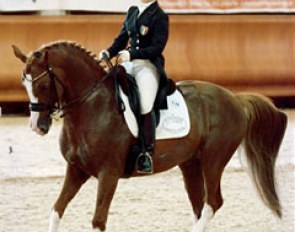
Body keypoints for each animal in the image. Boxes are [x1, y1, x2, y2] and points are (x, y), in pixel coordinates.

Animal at [12, 41, 288, 232]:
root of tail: (235, 99)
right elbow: (56, 211)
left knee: (213, 203)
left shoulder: (108, 174)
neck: (91, 107)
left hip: (214, 160)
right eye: (24, 85)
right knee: (200, 206)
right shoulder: (76, 170)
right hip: (190, 164)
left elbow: (98, 220)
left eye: (43, 85)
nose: (37, 126)